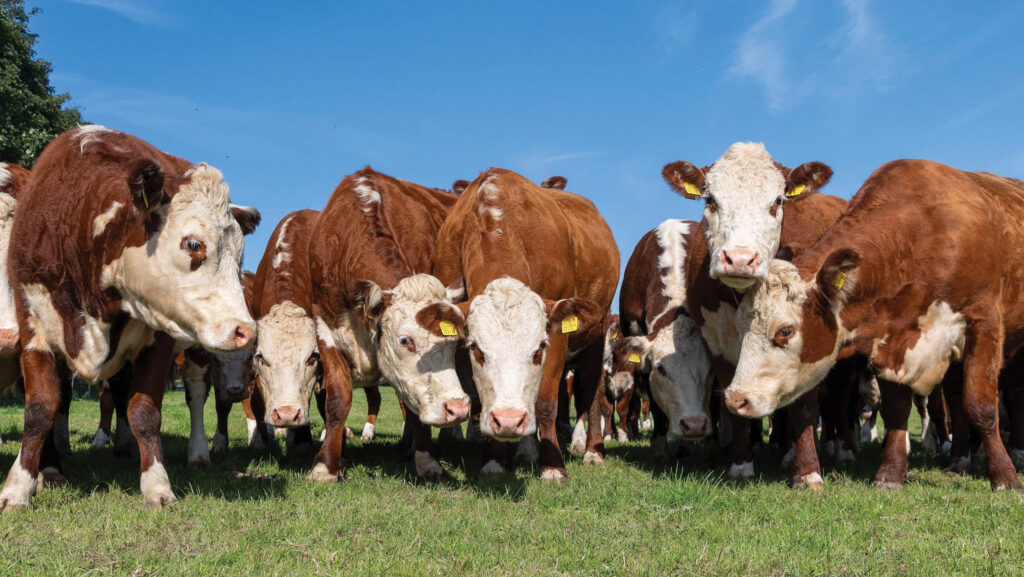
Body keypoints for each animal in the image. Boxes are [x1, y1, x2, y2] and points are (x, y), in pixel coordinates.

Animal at [0, 126, 258, 510]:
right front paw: (21, 485)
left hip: (197, 349)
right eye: (193, 244)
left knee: (195, 394)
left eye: (239, 258)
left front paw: (157, 484)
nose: (246, 331)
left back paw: (197, 452)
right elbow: (41, 410)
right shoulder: (35, 330)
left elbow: (146, 412)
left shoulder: (159, 339)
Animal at [307, 167, 468, 481]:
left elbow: (413, 408)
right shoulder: (324, 325)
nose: (456, 409)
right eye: (406, 340)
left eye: (454, 344)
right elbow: (337, 398)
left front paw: (427, 460)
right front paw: (325, 465)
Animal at [433, 167, 618, 481]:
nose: (508, 421)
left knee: (592, 393)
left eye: (539, 348)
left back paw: (593, 450)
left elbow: (545, 402)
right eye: (476, 349)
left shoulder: (557, 335)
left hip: (597, 334)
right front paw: (494, 460)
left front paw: (553, 467)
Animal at [662, 142, 846, 488]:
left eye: (777, 201)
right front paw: (741, 465)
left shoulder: (809, 337)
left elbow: (804, 407)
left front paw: (807, 472)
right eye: (710, 199)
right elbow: (732, 404)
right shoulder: (715, 343)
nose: (740, 258)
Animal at [725, 159, 1024, 491]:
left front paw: (1005, 477)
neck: (922, 231)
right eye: (741, 327)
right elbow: (896, 408)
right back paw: (959, 459)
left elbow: (981, 406)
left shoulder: (984, 323)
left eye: (785, 331)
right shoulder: (890, 334)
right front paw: (890, 473)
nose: (735, 399)